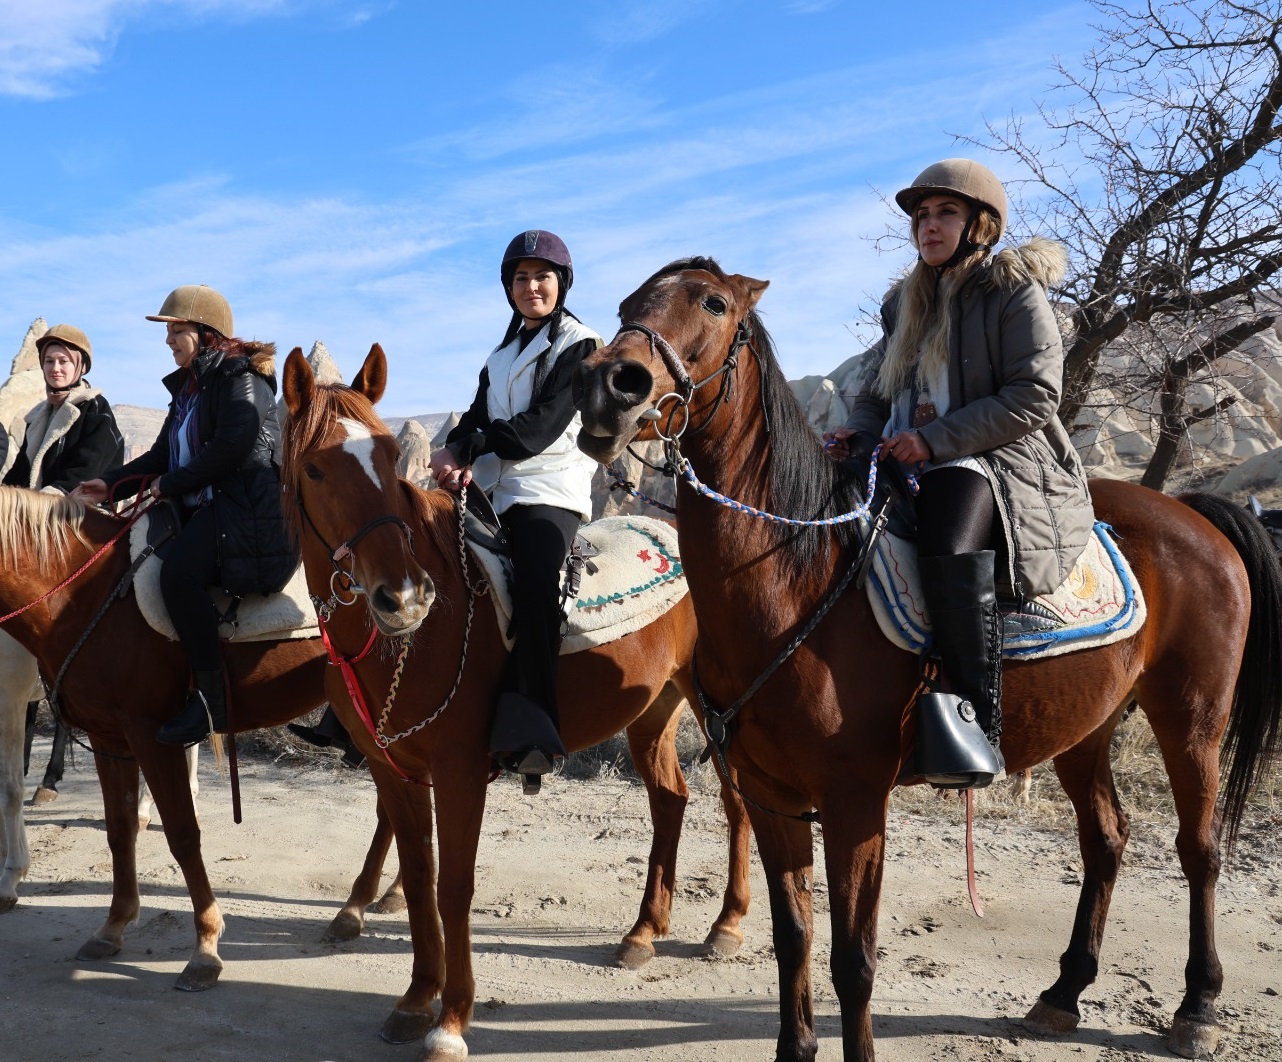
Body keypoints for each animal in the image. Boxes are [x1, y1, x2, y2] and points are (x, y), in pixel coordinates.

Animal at [275, 343, 748, 1056]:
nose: (403, 597)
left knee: (737, 801)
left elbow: (454, 886)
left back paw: (726, 926)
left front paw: (451, 1019)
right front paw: (415, 998)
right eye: (314, 467)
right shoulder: (393, 770)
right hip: (652, 711)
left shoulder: (460, 771)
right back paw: (643, 932)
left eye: (388, 457)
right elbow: (419, 877)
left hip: (716, 706)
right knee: (671, 799)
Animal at [579, 259, 1282, 1062]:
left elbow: (852, 961)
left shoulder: (855, 803)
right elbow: (794, 940)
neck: (798, 577)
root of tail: (1195, 511)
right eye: (629, 304)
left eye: (714, 302)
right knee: (1106, 840)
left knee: (1199, 848)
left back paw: (1197, 1005)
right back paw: (1064, 992)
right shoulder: (770, 795)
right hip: (1087, 727)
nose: (610, 383)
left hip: (1192, 718)